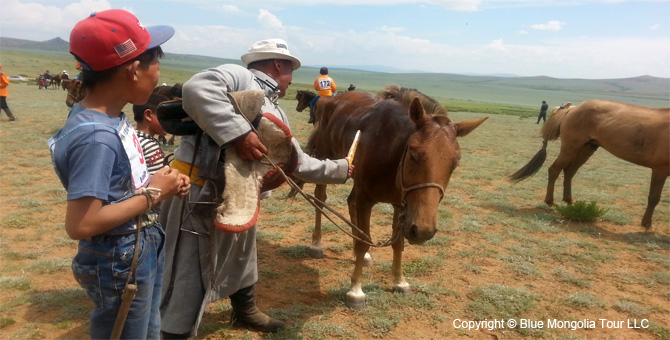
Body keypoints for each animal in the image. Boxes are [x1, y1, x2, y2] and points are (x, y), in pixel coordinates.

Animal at [306, 86, 488, 310]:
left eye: (455, 163)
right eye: (414, 154)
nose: (424, 231)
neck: (389, 150)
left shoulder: (401, 205)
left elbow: (397, 243)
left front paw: (400, 281)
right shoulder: (366, 200)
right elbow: (365, 241)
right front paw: (355, 291)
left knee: (350, 203)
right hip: (326, 159)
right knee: (320, 198)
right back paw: (317, 244)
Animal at [512, 99, 668, 230]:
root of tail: (572, 109)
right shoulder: (660, 169)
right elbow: (654, 197)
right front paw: (647, 224)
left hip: (587, 148)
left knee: (569, 171)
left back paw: (569, 201)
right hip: (570, 148)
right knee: (555, 169)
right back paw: (550, 201)